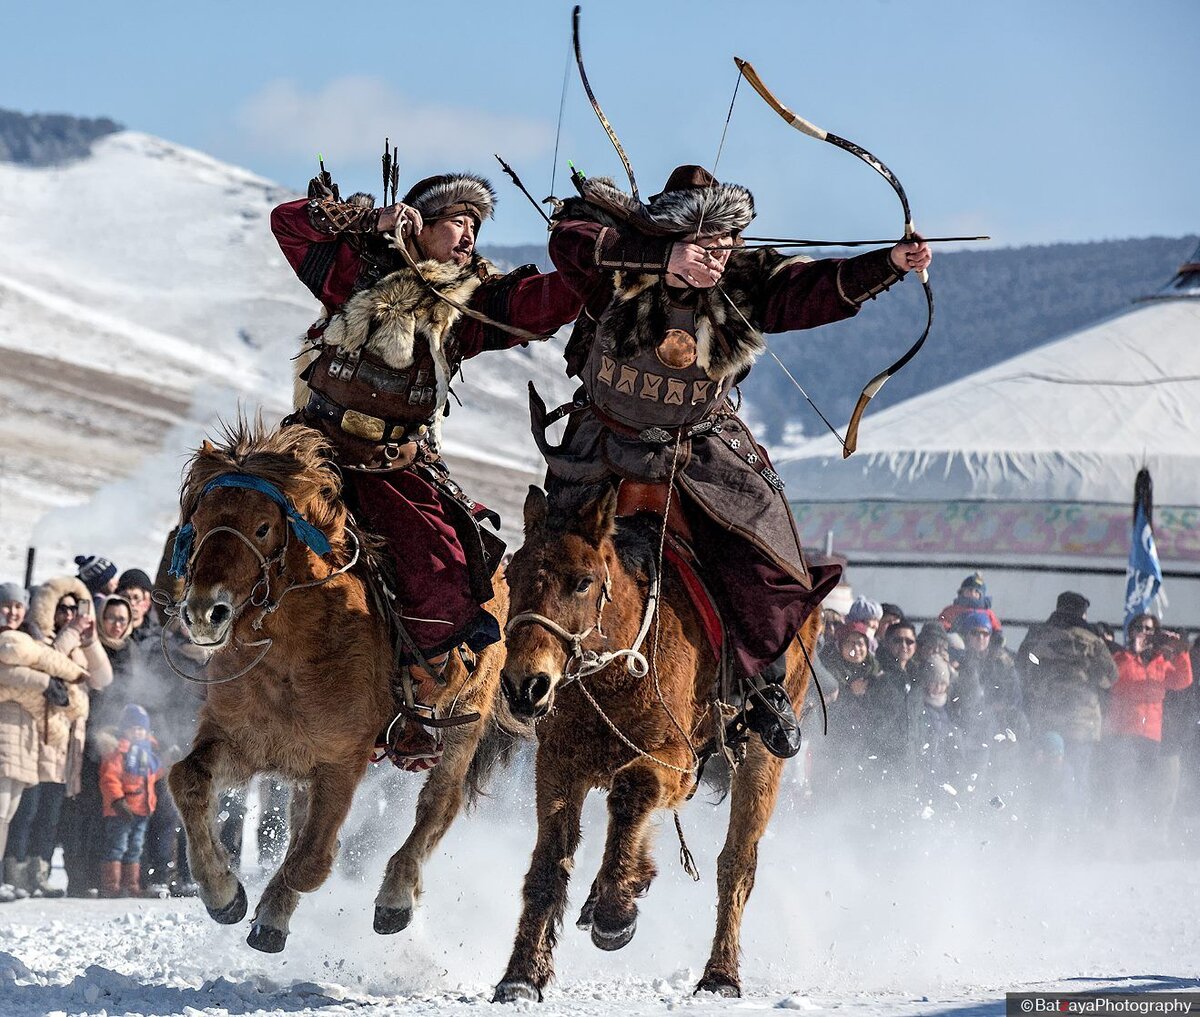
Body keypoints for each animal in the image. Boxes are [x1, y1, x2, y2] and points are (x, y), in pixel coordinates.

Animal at [164, 419, 511, 954]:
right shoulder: (242, 742)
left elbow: (312, 860)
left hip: (461, 726)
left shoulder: (342, 763)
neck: (291, 655)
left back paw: (396, 897)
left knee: (439, 805)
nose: (205, 613)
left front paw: (270, 910)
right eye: (198, 526)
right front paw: (224, 894)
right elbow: (187, 780)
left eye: (263, 528)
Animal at [492, 489, 820, 1007]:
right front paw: (522, 974)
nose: (525, 685)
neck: (615, 668)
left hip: (763, 756)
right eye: (512, 576)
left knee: (737, 863)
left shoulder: (675, 758)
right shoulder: (558, 764)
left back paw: (720, 974)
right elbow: (549, 860)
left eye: (583, 582)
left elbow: (632, 791)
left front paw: (616, 908)